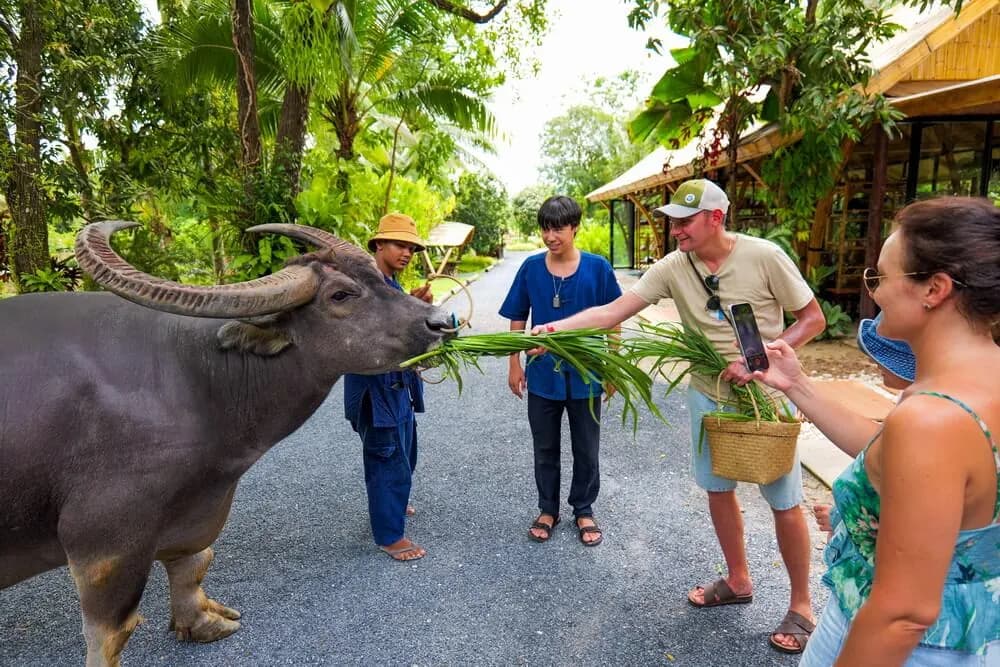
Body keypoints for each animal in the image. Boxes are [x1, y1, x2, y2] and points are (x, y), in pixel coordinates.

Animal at [0, 221, 453, 667]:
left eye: (378, 277)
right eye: (340, 295)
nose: (442, 322)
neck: (197, 381)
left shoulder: (196, 508)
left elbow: (194, 562)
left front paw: (204, 624)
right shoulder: (103, 541)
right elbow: (110, 634)